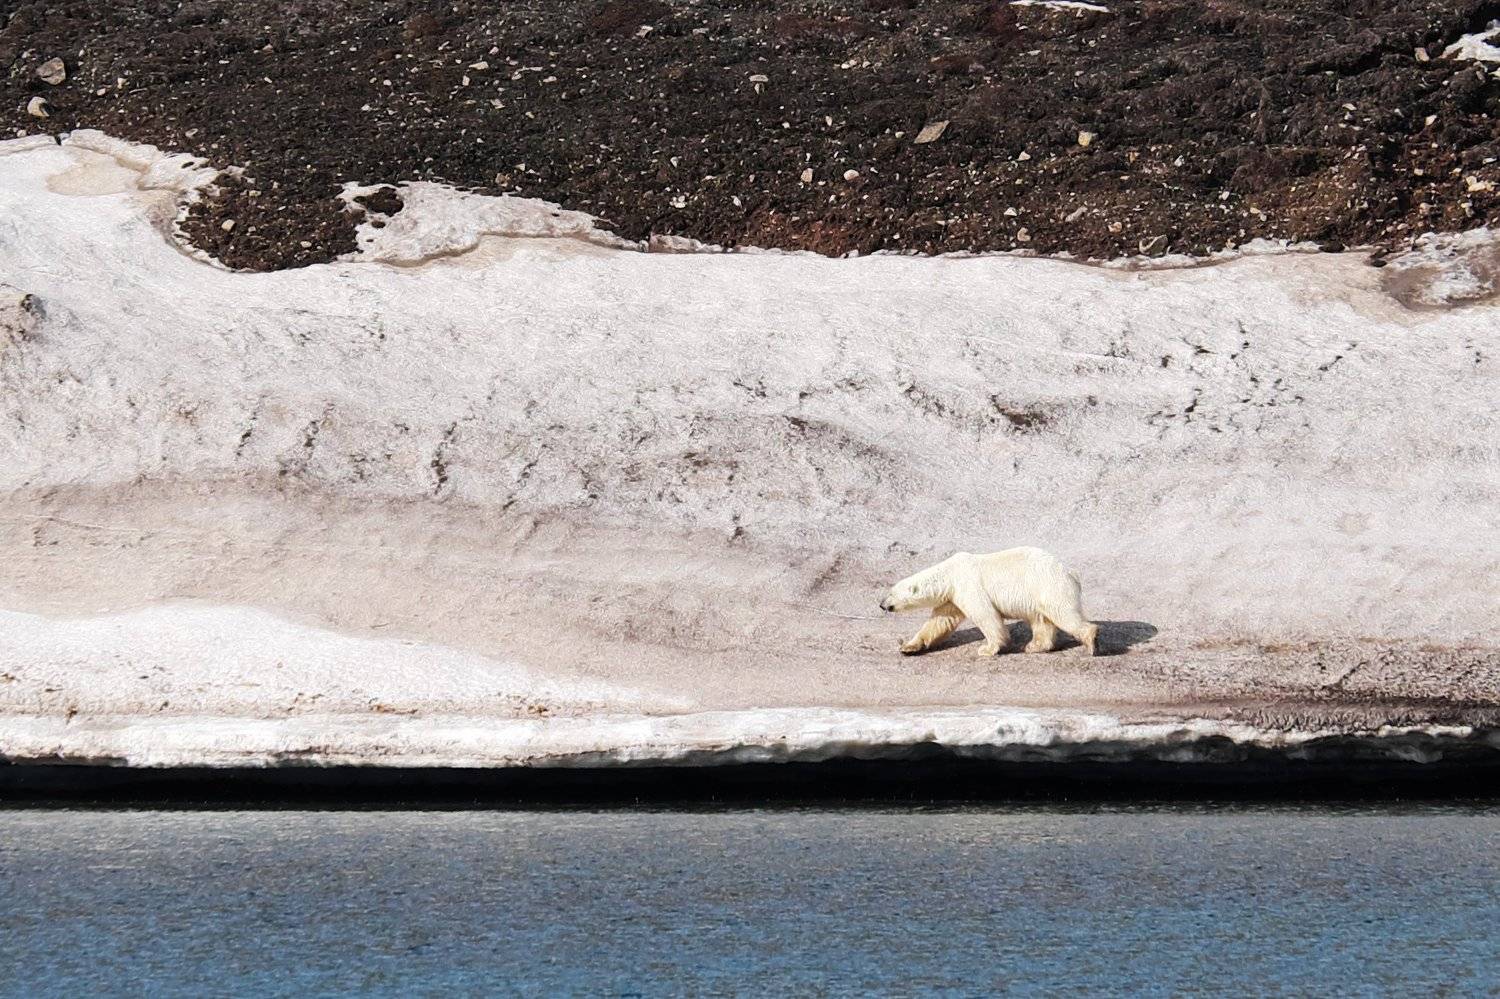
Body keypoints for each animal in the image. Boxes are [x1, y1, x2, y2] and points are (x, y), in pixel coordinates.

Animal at [879, 547, 1099, 657]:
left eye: (890, 593)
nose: (881, 604)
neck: (949, 574)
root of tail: (1071, 572)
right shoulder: (953, 597)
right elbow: (939, 622)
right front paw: (908, 647)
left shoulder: (968, 585)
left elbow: (986, 616)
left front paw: (987, 649)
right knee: (1041, 621)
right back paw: (1033, 646)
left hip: (1048, 586)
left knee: (1062, 614)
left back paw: (1090, 641)